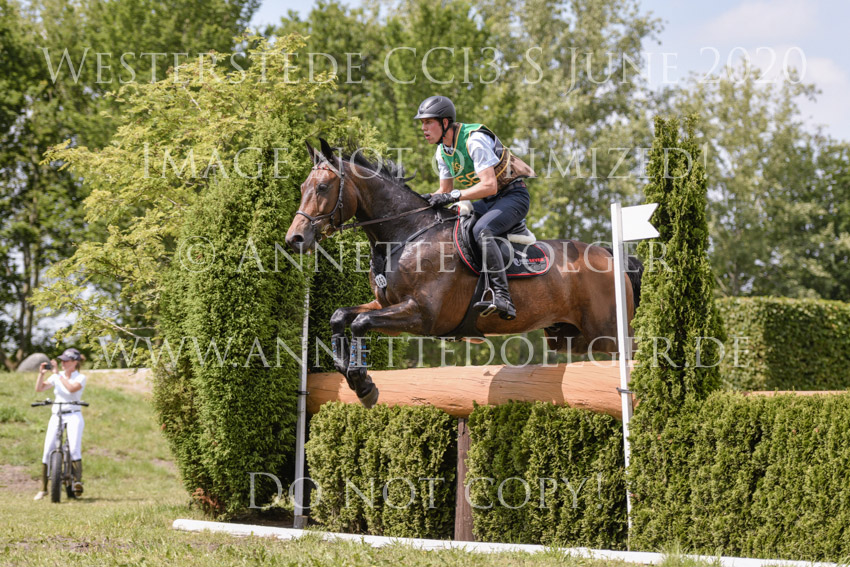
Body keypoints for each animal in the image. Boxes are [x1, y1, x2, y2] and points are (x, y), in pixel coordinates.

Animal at [285, 139, 643, 407]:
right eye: (303, 186)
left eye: (322, 187)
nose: (295, 239)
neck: (407, 234)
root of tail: (607, 253)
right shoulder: (387, 307)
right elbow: (341, 316)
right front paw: (351, 371)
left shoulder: (423, 315)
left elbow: (359, 322)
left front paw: (363, 385)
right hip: (572, 339)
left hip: (610, 333)